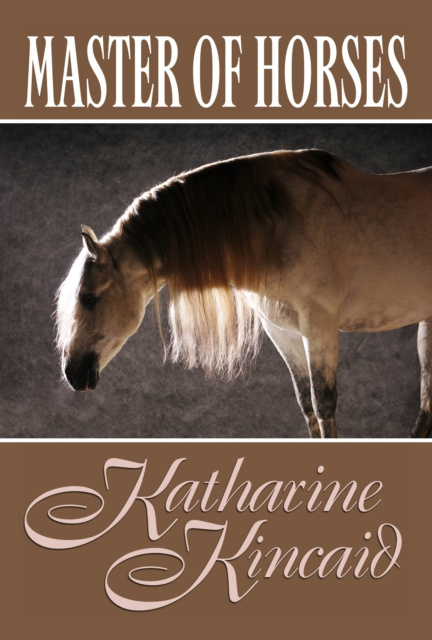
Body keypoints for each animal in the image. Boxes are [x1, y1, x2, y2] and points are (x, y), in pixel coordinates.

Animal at [55, 149, 432, 438]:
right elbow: (306, 404)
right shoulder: (283, 331)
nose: (72, 372)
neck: (282, 224)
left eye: (89, 298)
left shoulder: (320, 328)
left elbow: (324, 404)